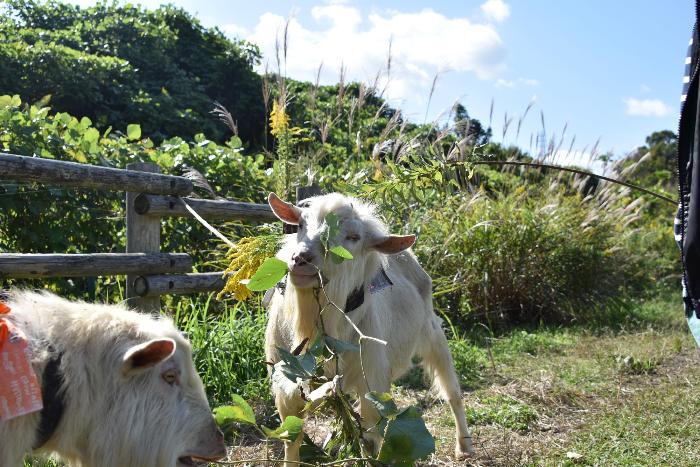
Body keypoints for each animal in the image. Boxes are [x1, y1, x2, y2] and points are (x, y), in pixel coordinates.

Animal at [266, 193, 474, 464]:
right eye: (300, 224)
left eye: (354, 237)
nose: (301, 259)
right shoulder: (286, 380)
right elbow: (292, 437)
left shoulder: (370, 380)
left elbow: (372, 435)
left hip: (433, 334)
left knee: (451, 391)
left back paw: (464, 445)